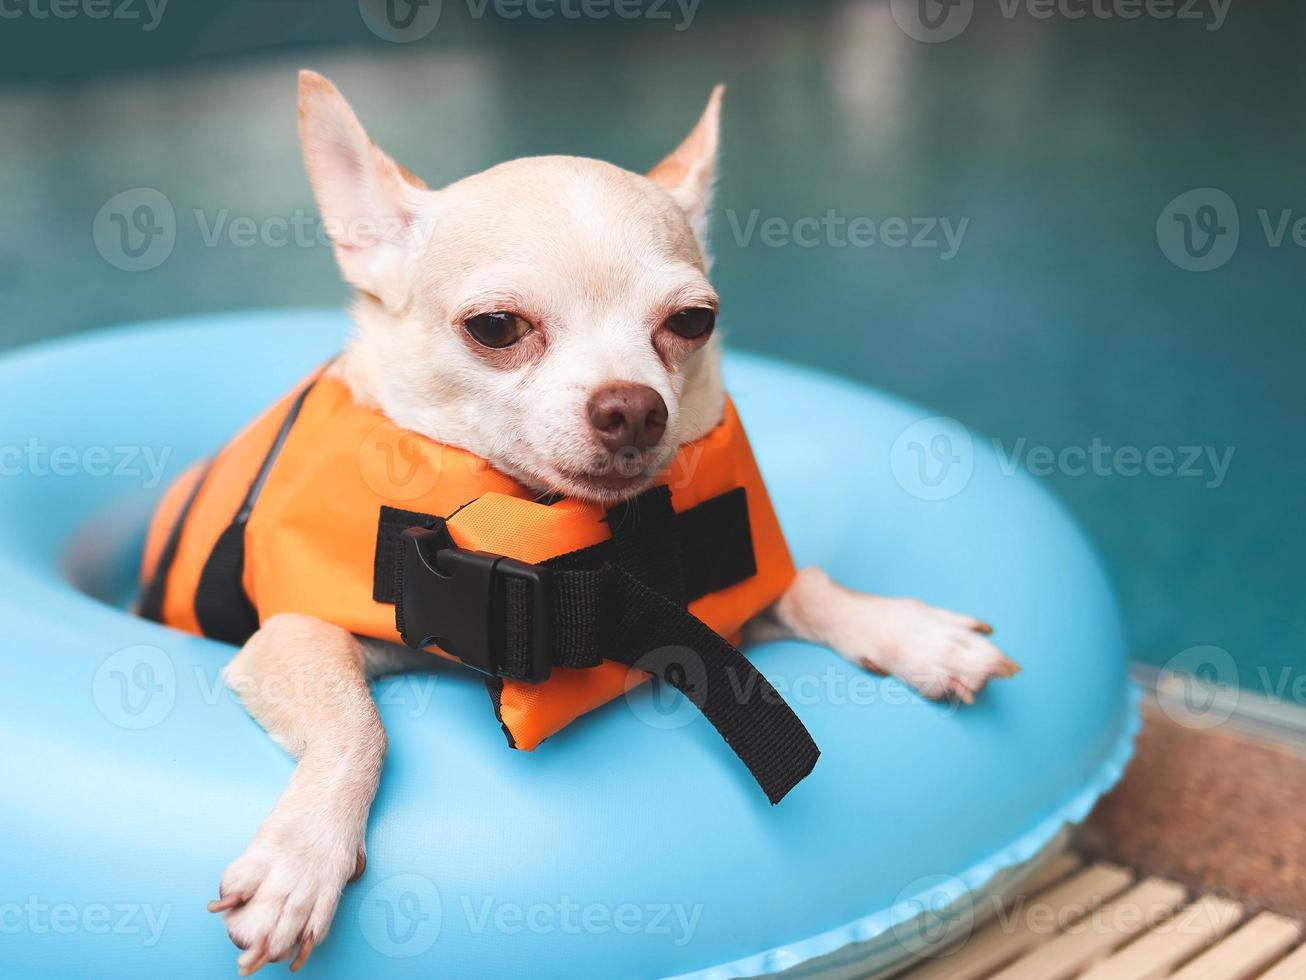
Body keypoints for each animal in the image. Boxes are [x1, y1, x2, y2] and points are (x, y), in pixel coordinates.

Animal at [206, 70, 1018, 977]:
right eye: (495, 328)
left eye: (693, 321)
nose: (634, 406)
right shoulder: (291, 634)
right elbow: (357, 725)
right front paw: (303, 861)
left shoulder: (721, 604)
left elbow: (806, 586)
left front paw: (912, 632)